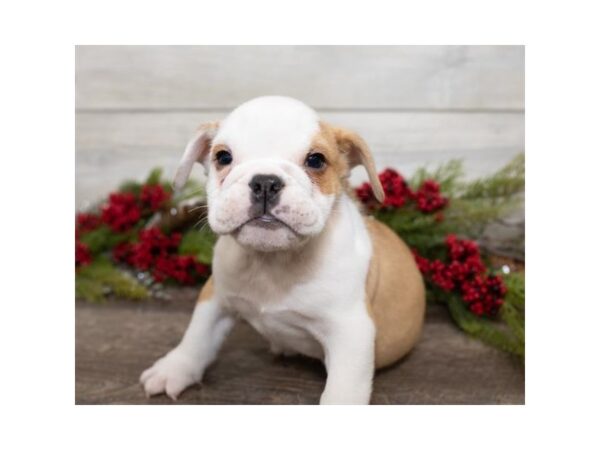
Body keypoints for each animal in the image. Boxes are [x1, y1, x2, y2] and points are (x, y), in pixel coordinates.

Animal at [139, 95, 424, 404]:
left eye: (316, 160)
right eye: (223, 157)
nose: (265, 181)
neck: (272, 261)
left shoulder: (350, 332)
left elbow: (342, 390)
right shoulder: (216, 296)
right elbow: (197, 335)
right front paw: (174, 368)